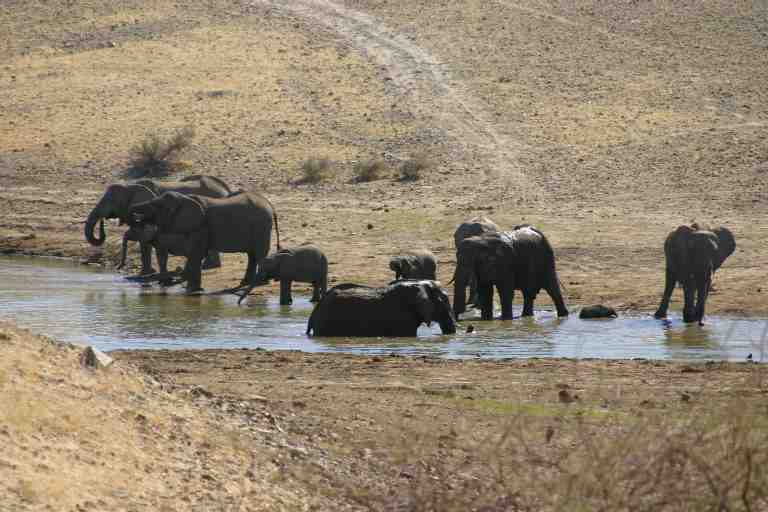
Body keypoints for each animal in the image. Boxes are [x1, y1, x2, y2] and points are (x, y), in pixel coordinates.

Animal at [85, 175, 231, 274]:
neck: (130, 186)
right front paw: (148, 272)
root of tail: (224, 188)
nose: (102, 220)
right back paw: (208, 266)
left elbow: (144, 240)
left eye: (110, 201)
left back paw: (208, 266)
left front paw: (145, 273)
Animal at [128, 190, 280, 292]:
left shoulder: (201, 227)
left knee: (258, 253)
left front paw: (191, 290)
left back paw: (261, 283)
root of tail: (269, 204)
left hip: (261, 226)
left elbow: (196, 253)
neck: (185, 198)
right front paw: (192, 290)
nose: (136, 218)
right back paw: (246, 282)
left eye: (158, 206)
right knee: (251, 255)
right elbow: (194, 253)